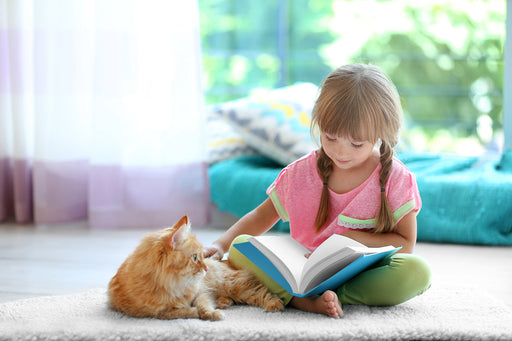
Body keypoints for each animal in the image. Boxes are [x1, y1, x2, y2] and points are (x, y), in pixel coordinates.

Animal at [108, 215, 284, 318]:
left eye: (202, 255)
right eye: (194, 258)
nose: (206, 268)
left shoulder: (201, 292)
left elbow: (202, 306)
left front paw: (211, 314)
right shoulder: (151, 312)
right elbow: (175, 312)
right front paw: (193, 311)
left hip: (236, 285)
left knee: (261, 293)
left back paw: (274, 305)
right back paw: (223, 303)